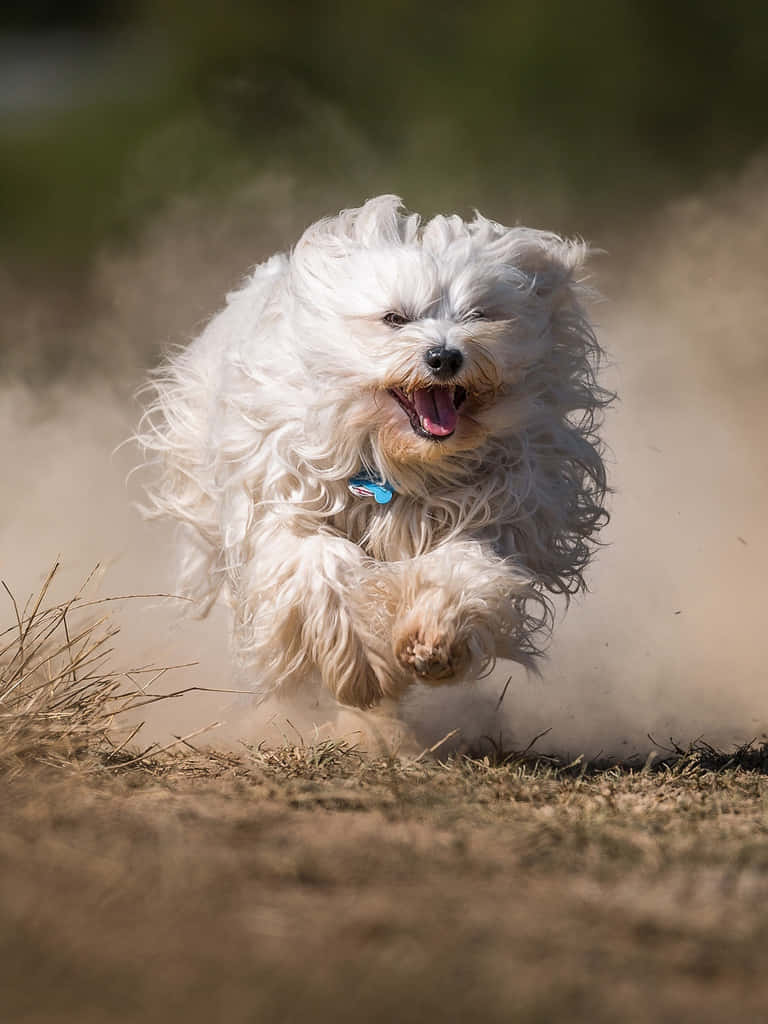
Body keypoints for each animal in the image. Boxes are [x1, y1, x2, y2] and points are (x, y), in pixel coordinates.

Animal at [137, 197, 606, 712]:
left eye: (479, 315)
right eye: (395, 319)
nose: (444, 357)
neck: (397, 459)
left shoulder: (494, 511)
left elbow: (461, 567)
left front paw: (433, 638)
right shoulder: (283, 505)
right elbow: (322, 567)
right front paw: (361, 666)